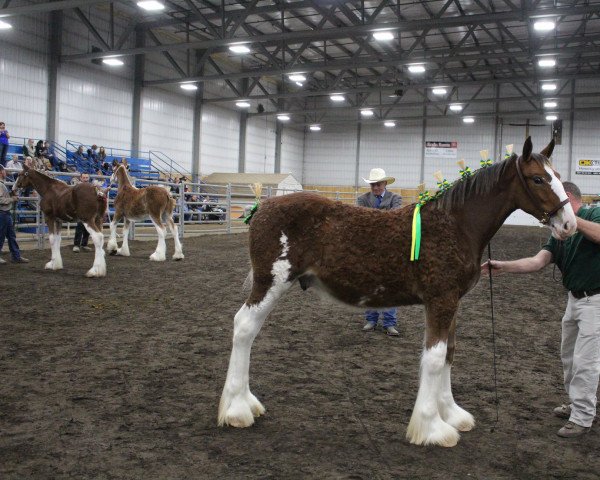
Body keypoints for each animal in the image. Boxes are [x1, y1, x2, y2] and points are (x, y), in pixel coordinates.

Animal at [217, 137, 576, 448]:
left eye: (558, 177)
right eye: (538, 179)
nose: (569, 224)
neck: (455, 224)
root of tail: (263, 207)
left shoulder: (452, 303)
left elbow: (449, 352)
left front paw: (452, 414)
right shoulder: (440, 301)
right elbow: (434, 358)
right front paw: (432, 428)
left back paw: (247, 403)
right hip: (271, 283)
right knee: (244, 328)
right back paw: (237, 410)